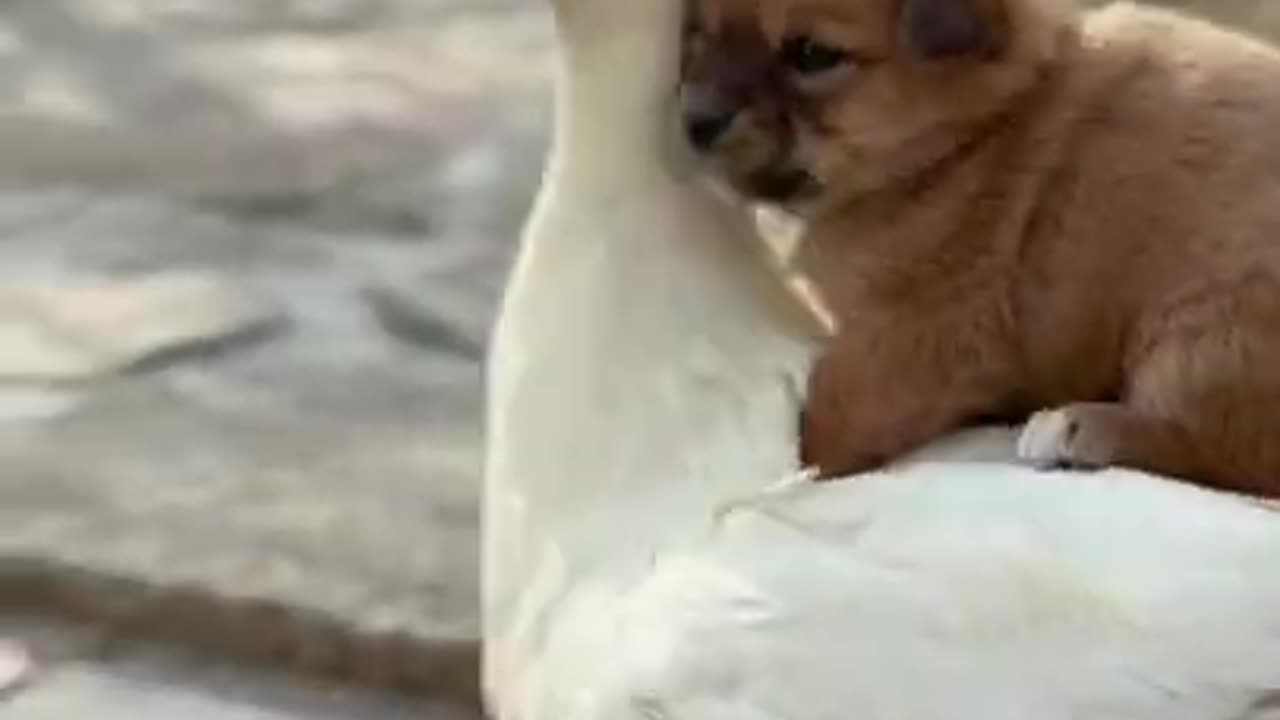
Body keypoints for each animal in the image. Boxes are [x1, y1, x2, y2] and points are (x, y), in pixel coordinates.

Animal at [686, 0, 1280, 497]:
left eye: (811, 55)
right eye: (704, 32)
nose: (695, 122)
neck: (966, 139)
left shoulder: (916, 333)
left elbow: (831, 416)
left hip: (1206, 330)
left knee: (1229, 451)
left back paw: (1074, 428)